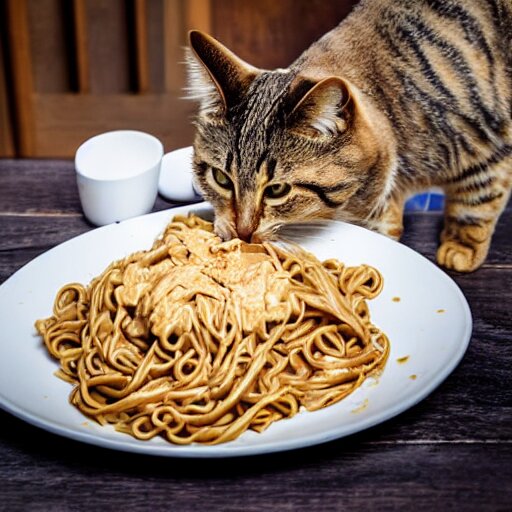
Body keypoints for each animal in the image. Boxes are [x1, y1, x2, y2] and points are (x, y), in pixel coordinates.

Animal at [186, 0, 510, 272]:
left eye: (277, 190)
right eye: (221, 179)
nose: (242, 233)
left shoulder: (490, 148)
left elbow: (477, 202)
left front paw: (461, 248)